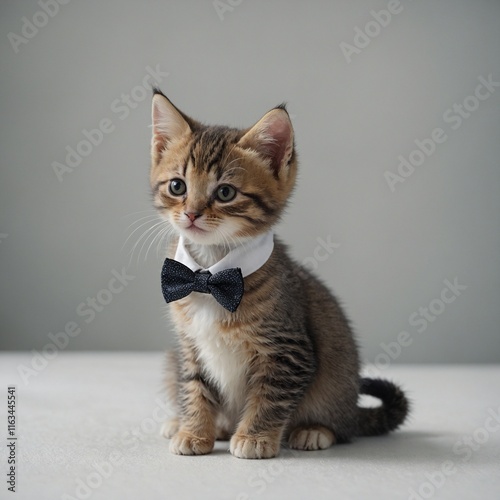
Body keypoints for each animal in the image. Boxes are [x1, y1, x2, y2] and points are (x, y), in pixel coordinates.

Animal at [150, 88, 408, 458]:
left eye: (225, 192)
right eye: (177, 186)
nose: (192, 214)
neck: (209, 274)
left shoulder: (288, 350)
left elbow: (269, 397)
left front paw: (255, 437)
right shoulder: (189, 346)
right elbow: (194, 386)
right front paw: (194, 430)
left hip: (338, 378)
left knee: (344, 427)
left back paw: (315, 430)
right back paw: (195, 423)